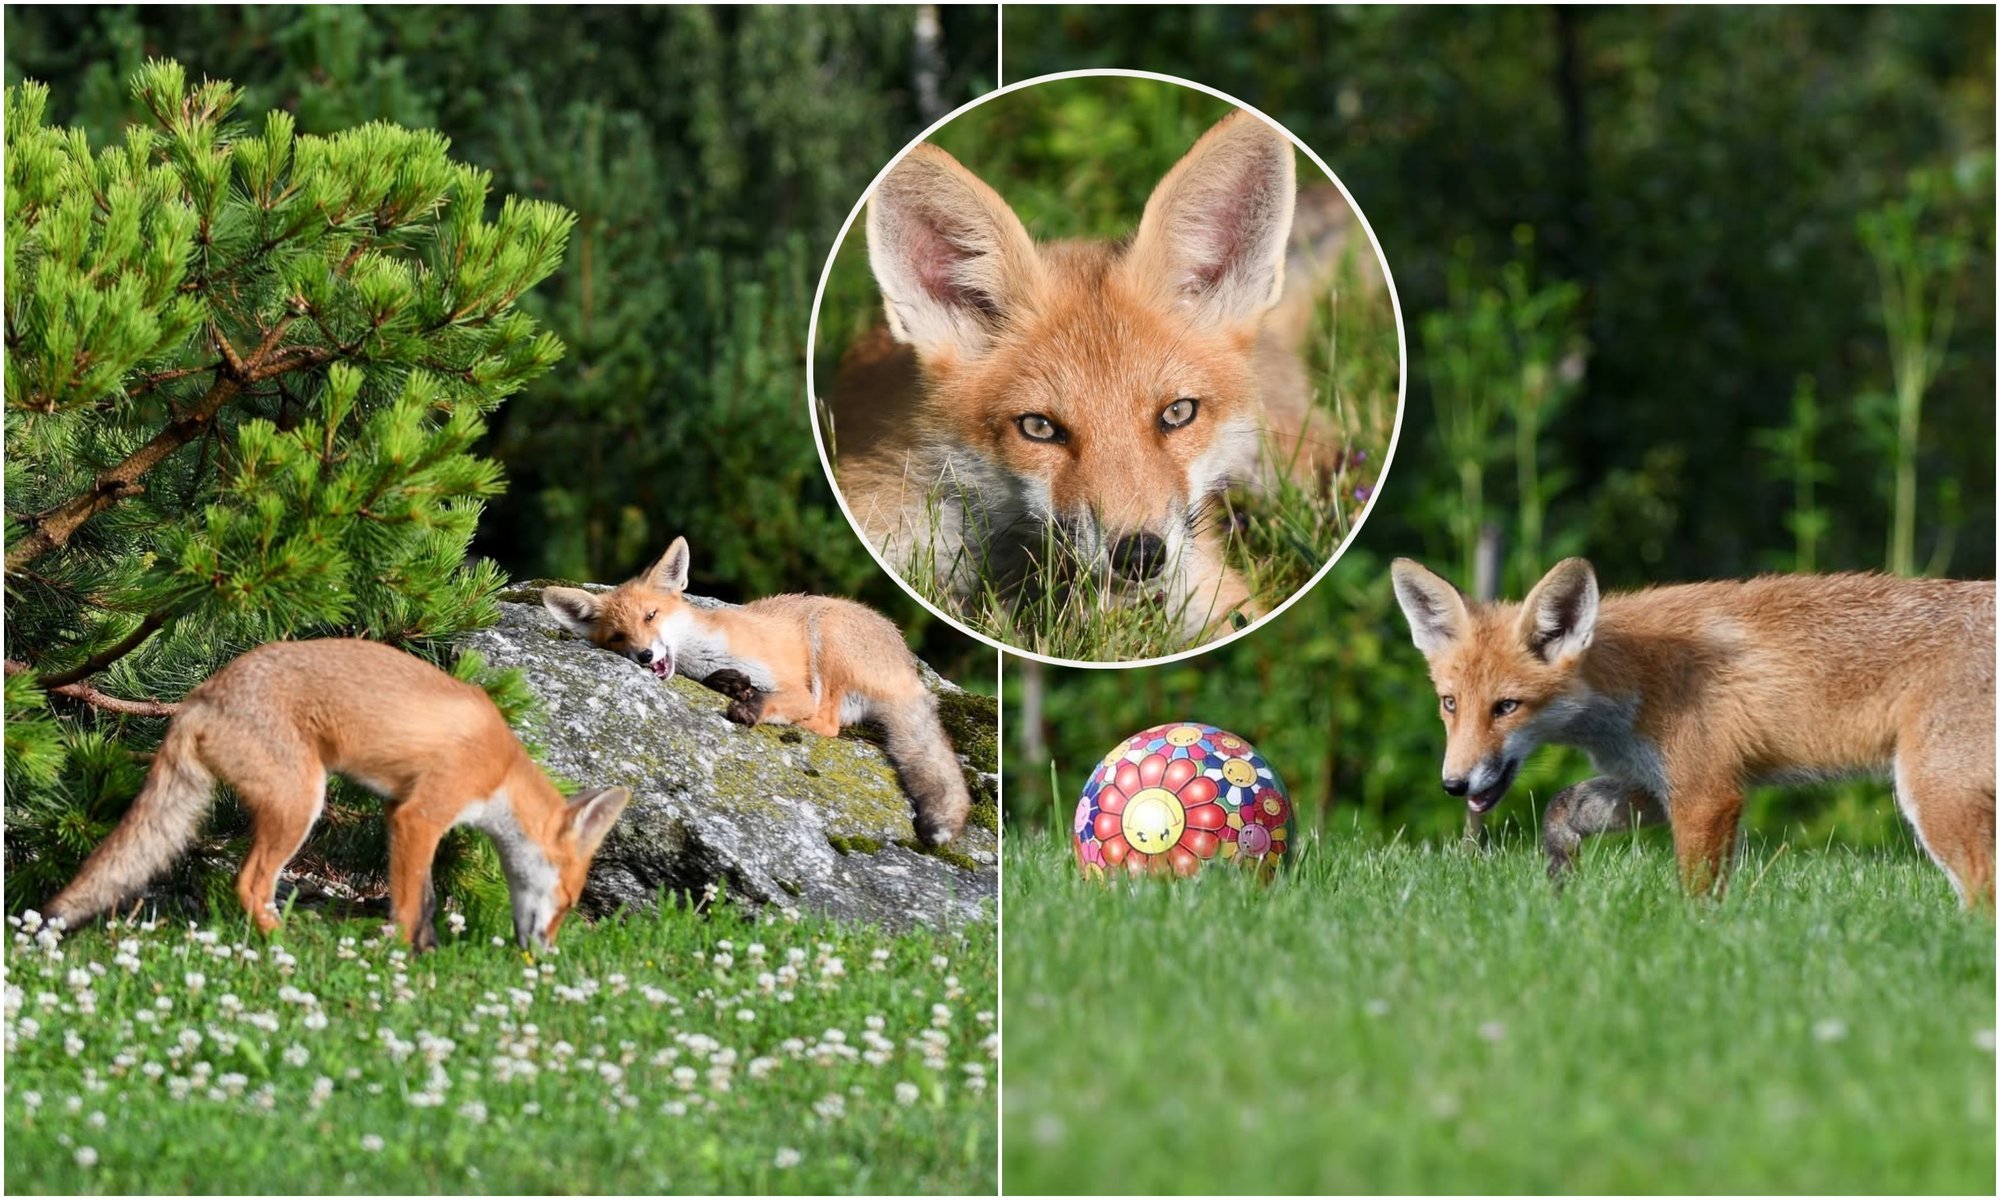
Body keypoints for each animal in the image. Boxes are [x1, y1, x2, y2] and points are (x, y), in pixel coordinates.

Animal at [42, 639, 632, 950]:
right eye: (571, 901)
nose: (542, 956)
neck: (502, 768)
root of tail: (200, 696)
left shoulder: (396, 811)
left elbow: (425, 898)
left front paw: (427, 950)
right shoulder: (422, 815)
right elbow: (409, 904)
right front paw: (401, 958)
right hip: (302, 804)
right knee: (250, 884)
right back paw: (287, 945)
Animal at [540, 536, 973, 845]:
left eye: (651, 615)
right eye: (618, 636)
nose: (644, 656)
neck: (705, 653)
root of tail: (908, 667)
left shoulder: (794, 687)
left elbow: (783, 701)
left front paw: (751, 707)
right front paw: (733, 686)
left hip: (826, 633)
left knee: (827, 723)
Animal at [1390, 557, 1996, 907]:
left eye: (1506, 707)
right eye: (1450, 704)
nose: (1454, 785)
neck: (1633, 679)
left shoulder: (1708, 793)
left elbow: (1697, 892)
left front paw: (1696, 942)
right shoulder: (1654, 783)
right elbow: (1562, 808)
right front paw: (1561, 881)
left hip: (1934, 795)